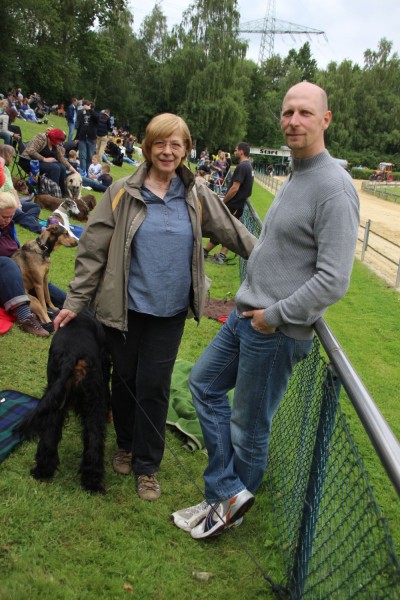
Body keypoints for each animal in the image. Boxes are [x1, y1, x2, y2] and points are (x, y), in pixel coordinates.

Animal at [14, 309, 111, 494]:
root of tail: (71, 355)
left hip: (54, 401)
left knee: (49, 434)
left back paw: (42, 471)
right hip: (94, 402)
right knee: (94, 439)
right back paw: (93, 482)